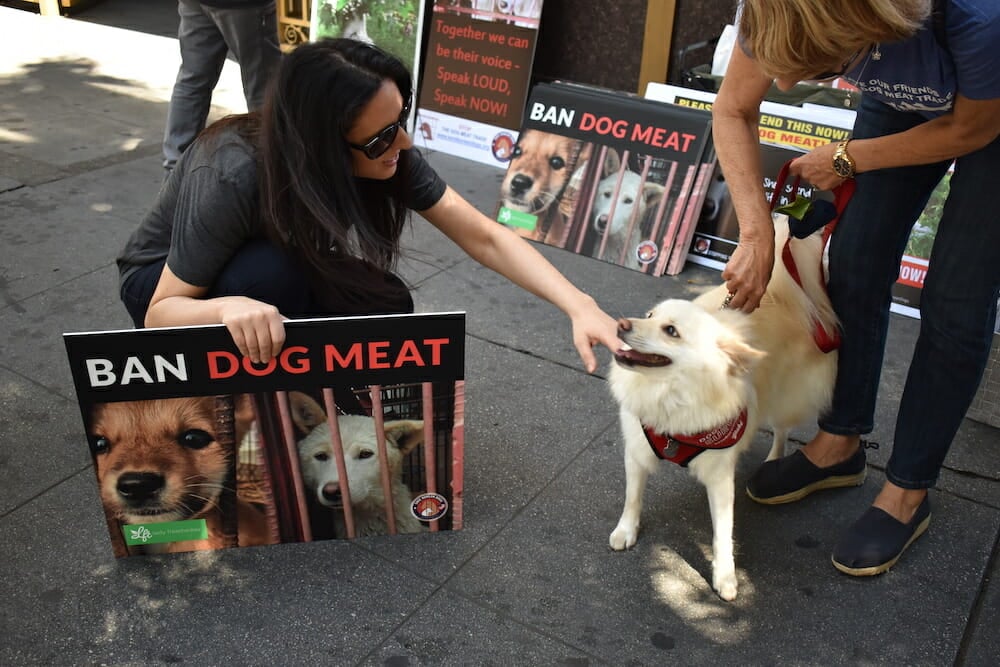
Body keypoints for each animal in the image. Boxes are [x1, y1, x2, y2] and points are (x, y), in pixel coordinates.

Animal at [608, 218, 836, 600]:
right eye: (649, 315)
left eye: (671, 331)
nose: (621, 324)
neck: (673, 395)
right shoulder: (637, 451)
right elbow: (632, 498)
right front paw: (626, 530)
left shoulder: (719, 477)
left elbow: (722, 534)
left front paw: (725, 577)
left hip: (784, 396)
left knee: (782, 429)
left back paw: (775, 461)